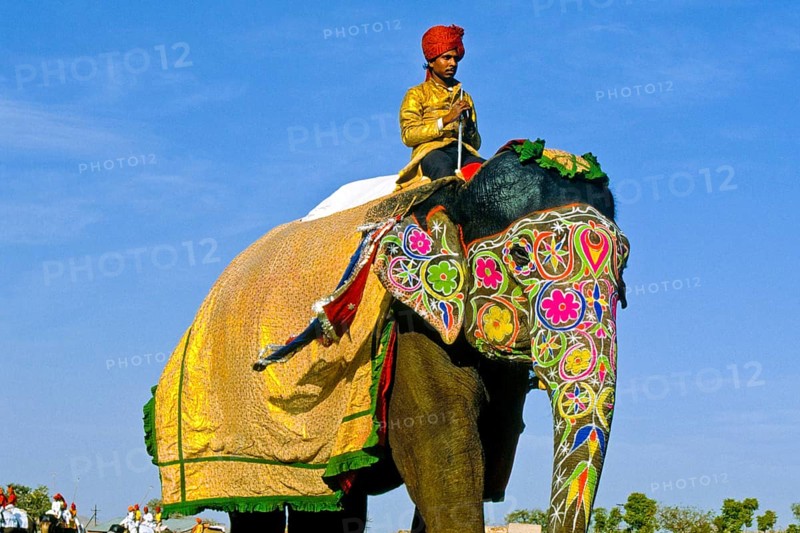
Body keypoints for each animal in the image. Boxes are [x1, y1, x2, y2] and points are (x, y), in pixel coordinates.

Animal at [145, 139, 629, 533]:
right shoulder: (410, 326)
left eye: (623, 263)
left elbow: (476, 459)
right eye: (521, 255)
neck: (453, 192)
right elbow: (447, 460)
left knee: (332, 506)